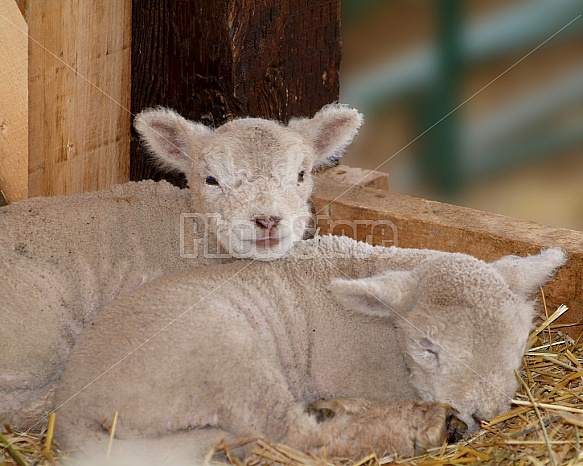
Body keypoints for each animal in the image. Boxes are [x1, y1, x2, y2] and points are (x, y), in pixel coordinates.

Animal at [52, 235, 568, 464]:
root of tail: (71, 412)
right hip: (224, 354)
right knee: (297, 437)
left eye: (520, 342)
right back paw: (414, 427)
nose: (486, 413)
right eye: (428, 349)